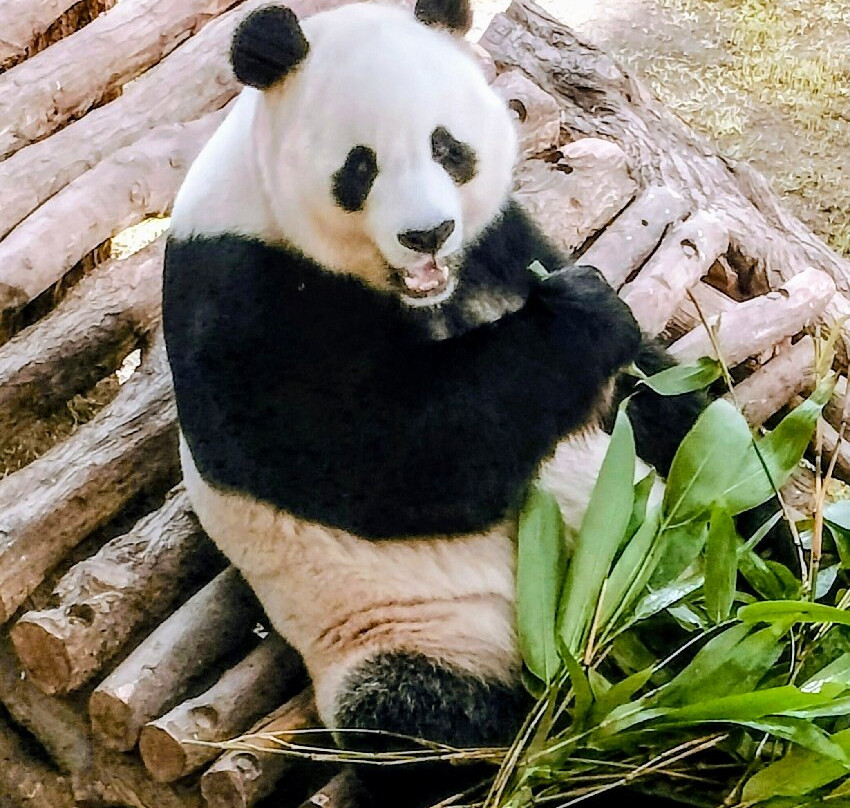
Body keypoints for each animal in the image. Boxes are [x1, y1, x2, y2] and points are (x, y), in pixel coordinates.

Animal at [163, 0, 704, 779]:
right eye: (360, 166)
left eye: (449, 147)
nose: (429, 233)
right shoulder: (238, 291)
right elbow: (386, 459)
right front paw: (585, 314)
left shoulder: (497, 242)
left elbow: (653, 392)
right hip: (413, 628)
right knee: (417, 720)